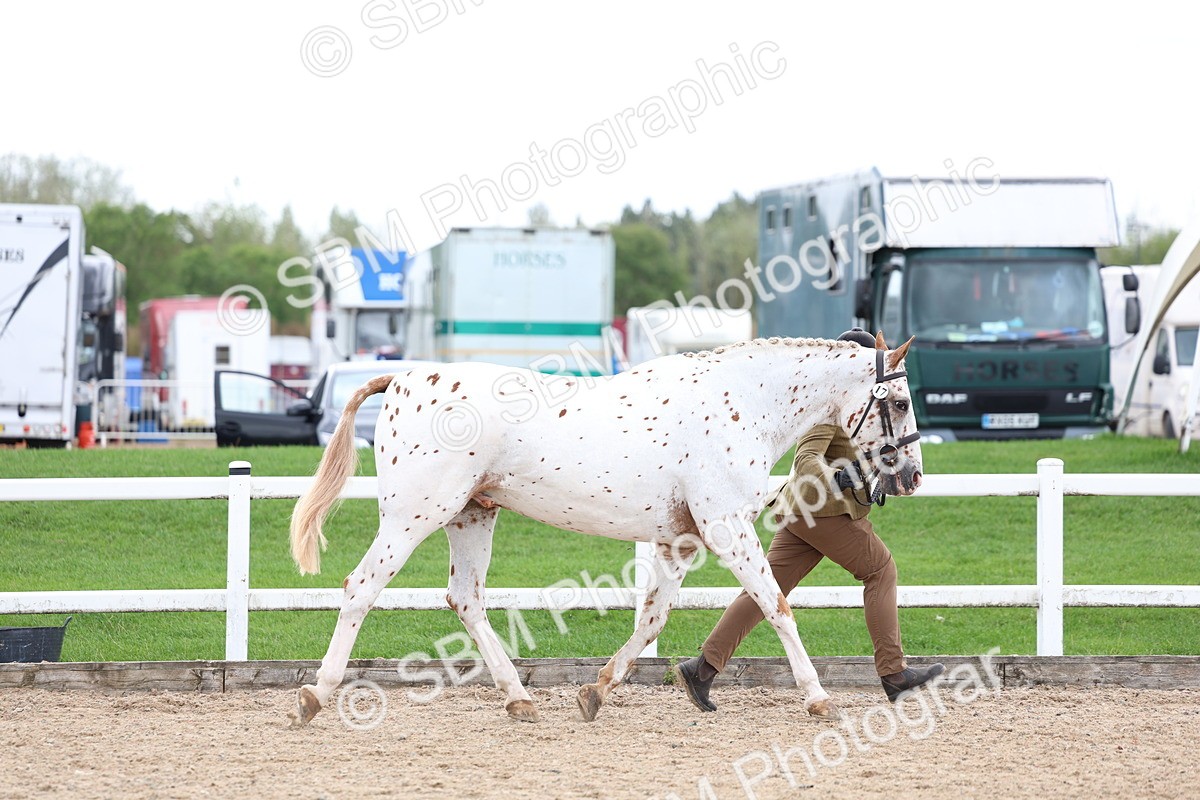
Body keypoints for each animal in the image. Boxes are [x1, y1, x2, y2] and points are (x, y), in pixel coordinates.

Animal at [286, 333, 923, 727]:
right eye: (899, 400)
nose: (912, 475)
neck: (742, 402)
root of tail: (400, 379)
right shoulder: (726, 527)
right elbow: (776, 607)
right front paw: (818, 700)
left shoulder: (680, 539)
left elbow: (653, 620)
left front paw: (596, 691)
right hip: (413, 516)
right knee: (361, 588)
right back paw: (315, 694)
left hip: (473, 514)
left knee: (465, 599)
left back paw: (520, 700)